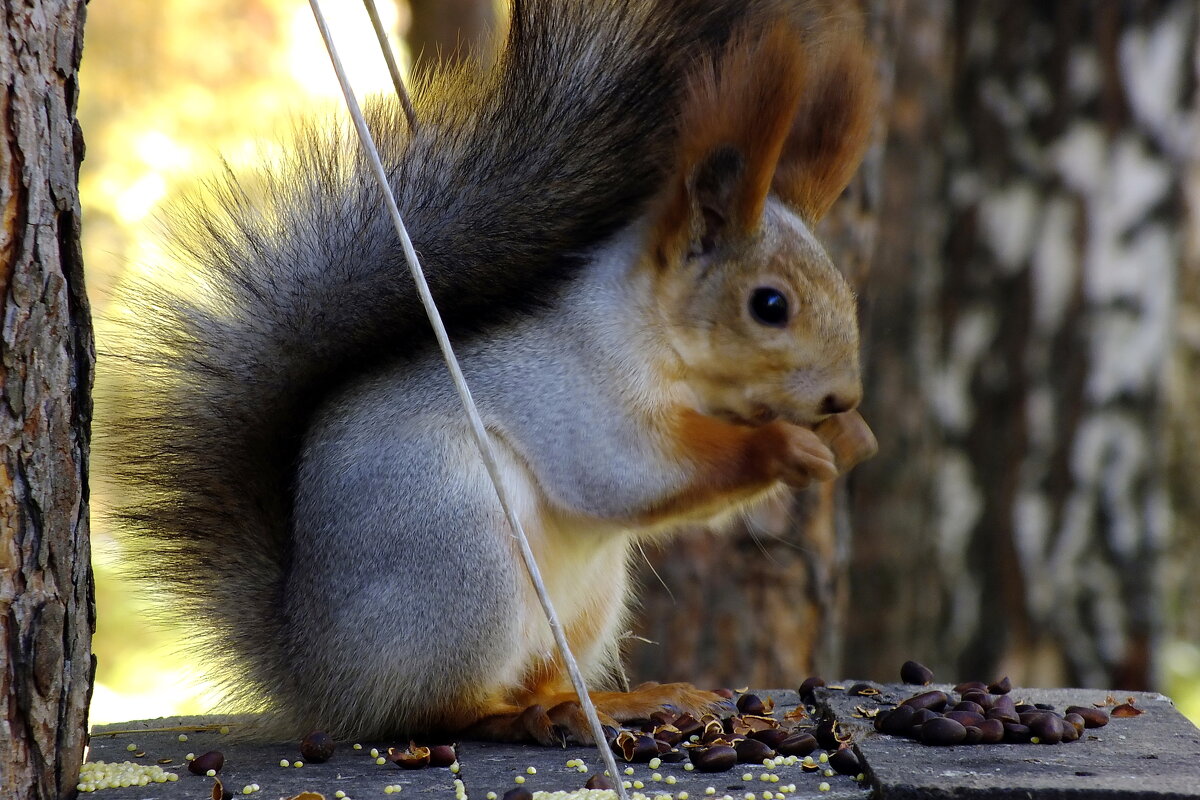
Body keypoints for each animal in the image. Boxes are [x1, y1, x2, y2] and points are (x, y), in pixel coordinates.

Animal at [108, 0, 883, 743]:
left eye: (847, 292)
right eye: (770, 305)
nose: (843, 394)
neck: (656, 338)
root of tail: (319, 676)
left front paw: (851, 438)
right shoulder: (579, 394)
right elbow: (630, 475)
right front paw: (784, 446)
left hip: (586, 602)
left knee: (536, 676)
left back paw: (607, 702)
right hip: (463, 565)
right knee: (437, 711)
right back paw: (520, 717)